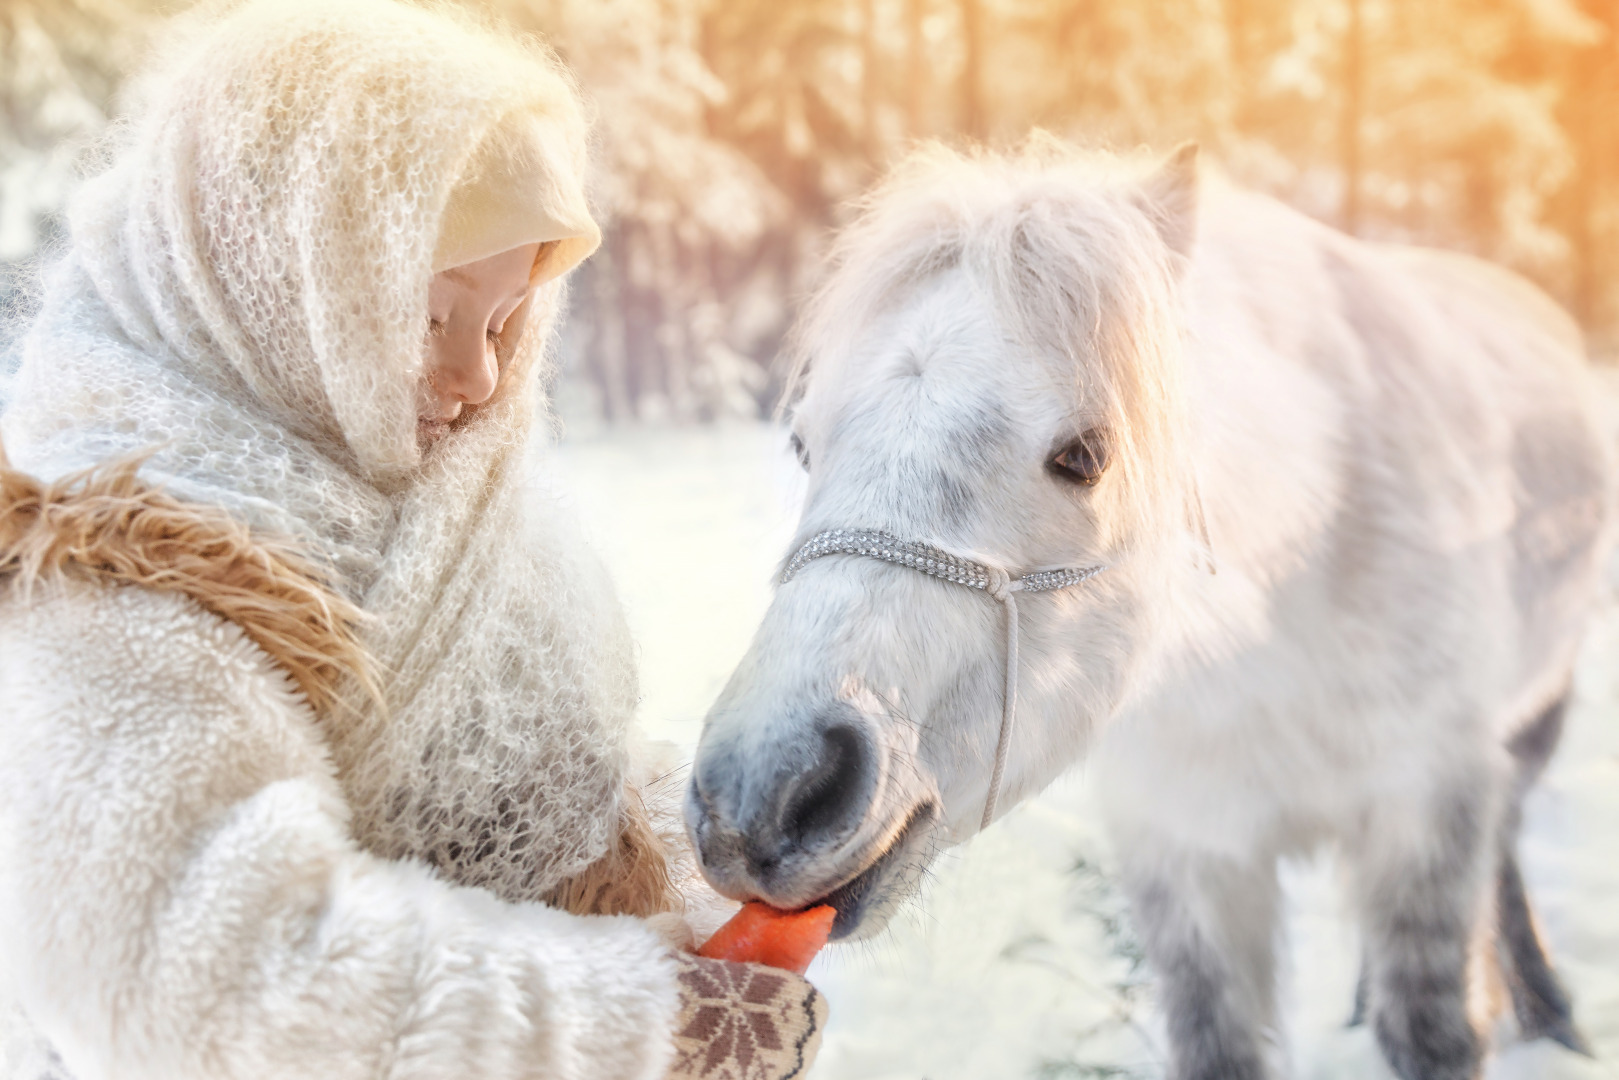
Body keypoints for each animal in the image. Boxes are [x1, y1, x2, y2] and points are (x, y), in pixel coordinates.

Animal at [689, 141, 1612, 1080]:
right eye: (803, 444)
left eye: (1087, 454)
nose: (765, 791)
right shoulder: (1186, 843)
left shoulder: (1425, 801)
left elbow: (1431, 1028)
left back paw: (1549, 1010)